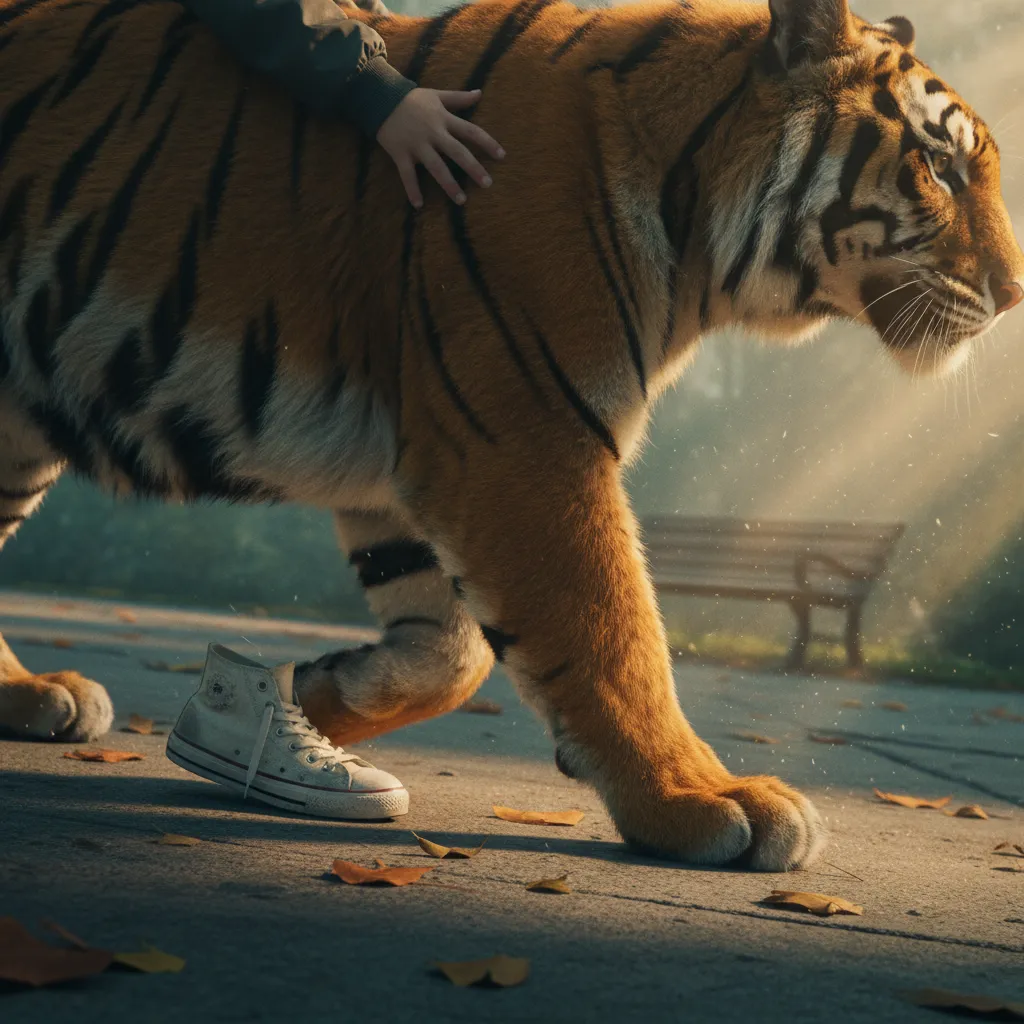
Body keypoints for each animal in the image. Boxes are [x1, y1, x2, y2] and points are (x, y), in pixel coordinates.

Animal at [0, 0, 1020, 872]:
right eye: (939, 167)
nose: (1014, 294)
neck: (700, 239)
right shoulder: (527, 442)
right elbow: (613, 631)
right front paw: (700, 800)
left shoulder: (422, 458)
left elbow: (454, 654)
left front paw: (316, 696)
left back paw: (30, 696)